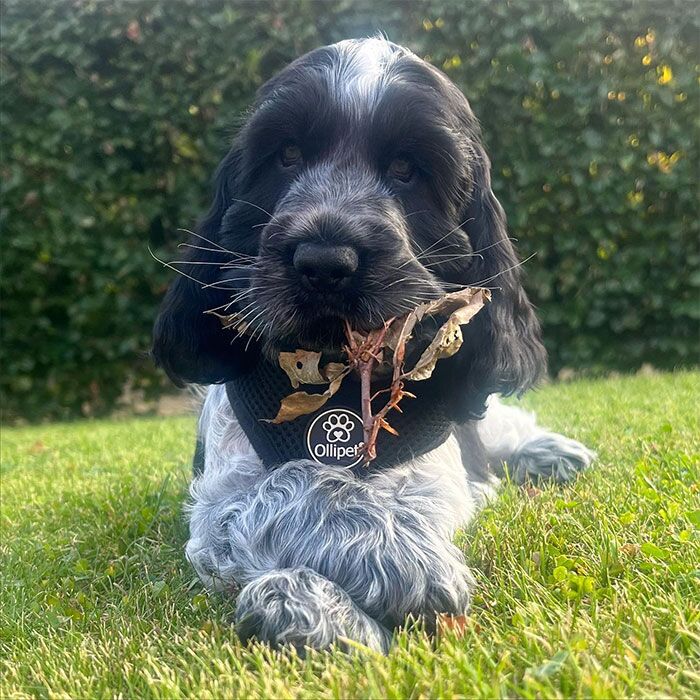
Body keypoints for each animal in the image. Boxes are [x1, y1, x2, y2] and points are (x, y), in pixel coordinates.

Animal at [152, 38, 594, 653]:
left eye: (407, 169)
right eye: (286, 155)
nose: (323, 262)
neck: (330, 376)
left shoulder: (435, 482)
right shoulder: (219, 498)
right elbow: (296, 482)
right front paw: (338, 593)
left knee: (497, 426)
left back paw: (550, 451)